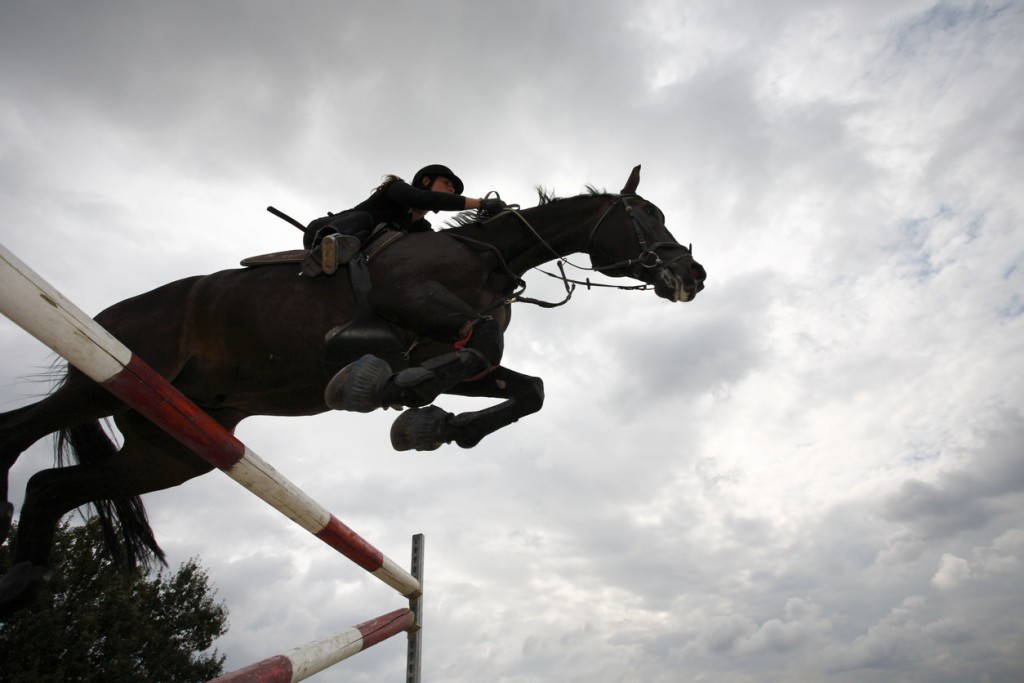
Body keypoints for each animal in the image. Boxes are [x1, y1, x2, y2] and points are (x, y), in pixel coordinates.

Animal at [0, 165, 704, 614]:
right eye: (645, 215)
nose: (693, 273)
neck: (489, 257)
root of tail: (109, 314)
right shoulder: (413, 302)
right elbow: (474, 344)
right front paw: (390, 389)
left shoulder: (464, 360)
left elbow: (524, 387)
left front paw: (428, 424)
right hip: (104, 379)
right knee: (19, 433)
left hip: (172, 449)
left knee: (52, 487)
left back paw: (26, 581)